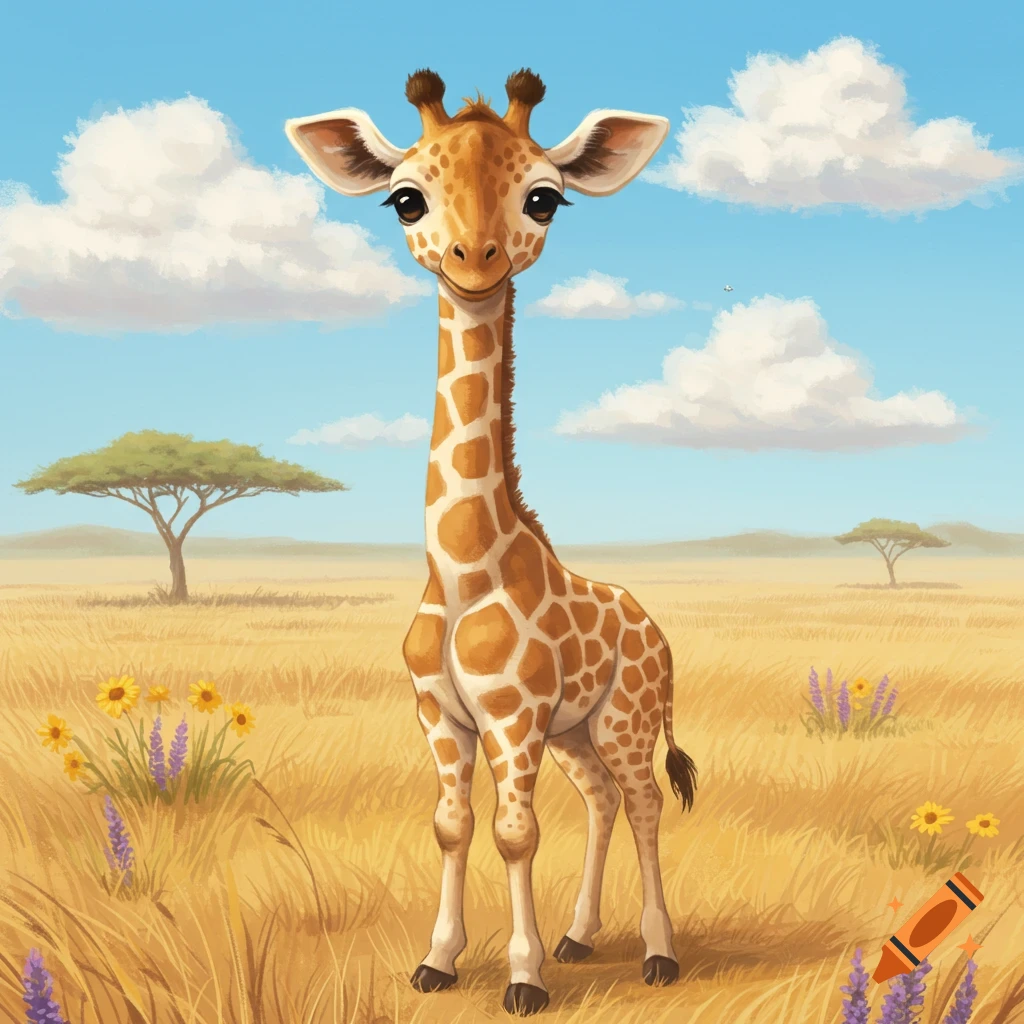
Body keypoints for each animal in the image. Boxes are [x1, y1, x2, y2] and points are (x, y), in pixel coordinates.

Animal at [286, 68, 697, 1017]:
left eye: (544, 197)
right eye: (405, 198)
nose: (475, 260)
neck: (463, 569)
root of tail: (656, 629)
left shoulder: (512, 717)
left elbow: (515, 832)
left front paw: (522, 976)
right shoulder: (439, 713)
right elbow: (453, 823)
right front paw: (440, 960)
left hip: (624, 717)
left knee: (644, 803)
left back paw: (658, 954)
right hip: (576, 731)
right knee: (602, 801)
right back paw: (582, 937)